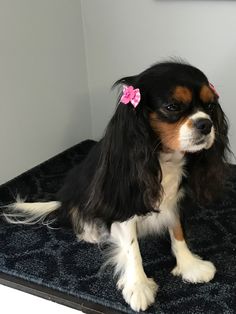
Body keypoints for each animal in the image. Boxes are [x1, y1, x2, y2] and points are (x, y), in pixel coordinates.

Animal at [3, 61, 230, 312]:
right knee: (75, 211)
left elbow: (177, 231)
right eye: (172, 106)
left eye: (210, 106)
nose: (206, 124)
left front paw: (189, 264)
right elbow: (132, 248)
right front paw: (138, 286)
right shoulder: (123, 201)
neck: (162, 157)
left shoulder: (174, 200)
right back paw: (90, 231)